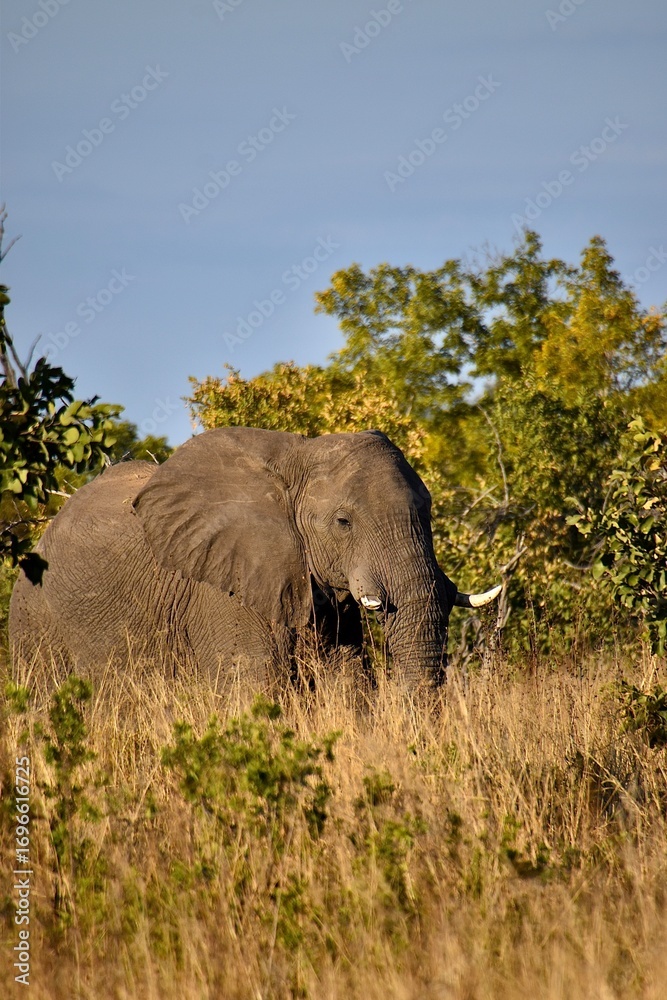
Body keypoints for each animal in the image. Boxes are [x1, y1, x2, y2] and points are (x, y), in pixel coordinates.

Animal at [9, 426, 500, 689]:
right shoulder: (220, 589)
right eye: (343, 522)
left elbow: (348, 681)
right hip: (34, 617)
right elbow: (255, 688)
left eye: (428, 510)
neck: (299, 455)